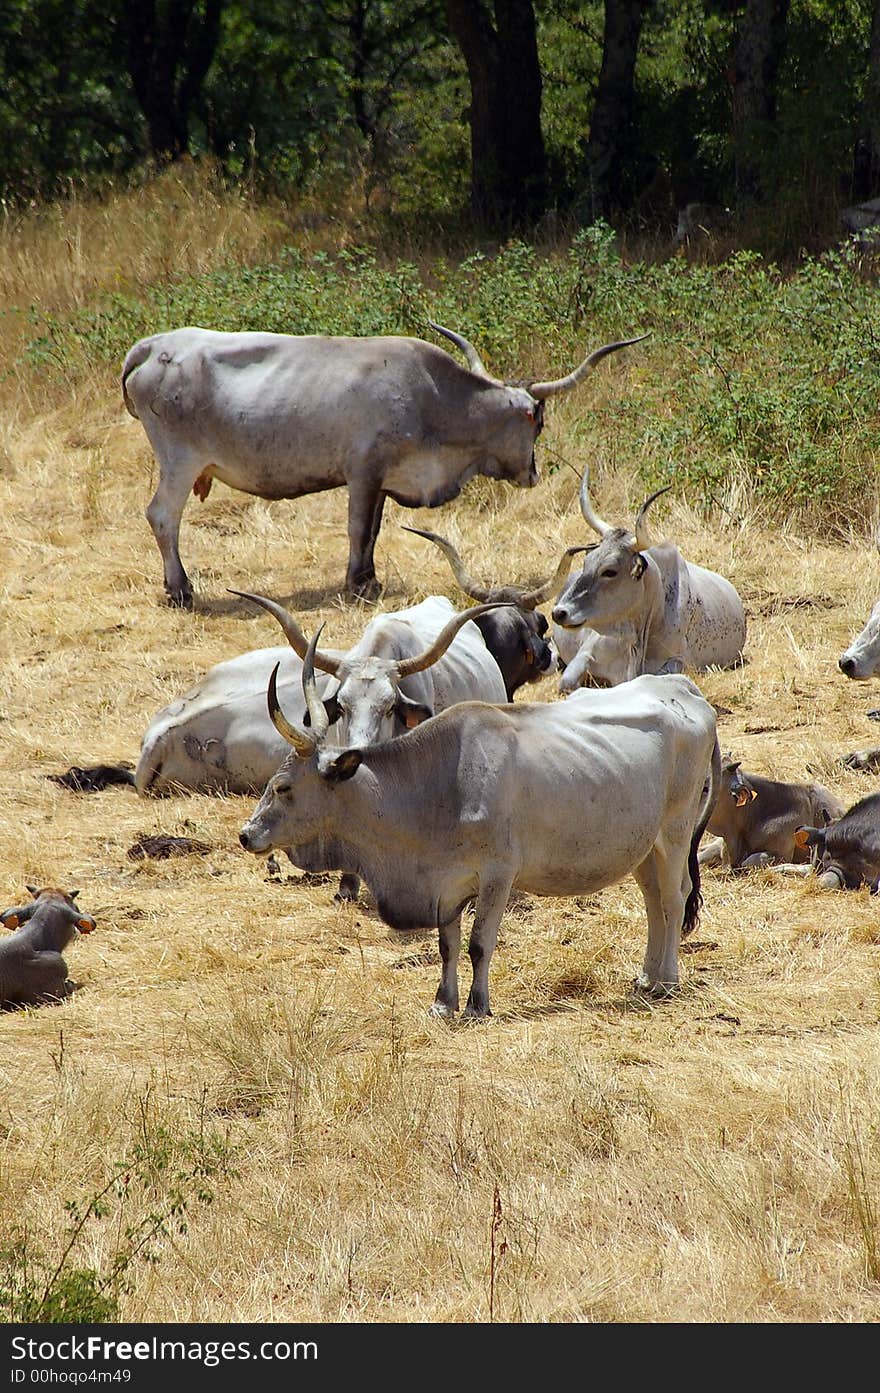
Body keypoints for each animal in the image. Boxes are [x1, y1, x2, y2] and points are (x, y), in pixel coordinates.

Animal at [121, 328, 646, 612]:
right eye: (538, 422)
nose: (533, 474)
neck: (434, 399)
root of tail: (153, 345)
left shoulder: (383, 483)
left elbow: (373, 531)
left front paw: (369, 580)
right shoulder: (363, 473)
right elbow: (358, 530)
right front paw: (355, 584)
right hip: (179, 462)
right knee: (162, 516)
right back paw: (180, 590)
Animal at [236, 629, 718, 1014]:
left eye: (283, 787)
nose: (246, 835)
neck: (441, 783)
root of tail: (686, 691)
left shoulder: (497, 877)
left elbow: (479, 944)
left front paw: (476, 1004)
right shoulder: (445, 885)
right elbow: (447, 945)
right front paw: (442, 1002)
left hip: (675, 834)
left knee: (674, 898)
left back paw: (667, 980)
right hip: (644, 848)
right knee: (654, 902)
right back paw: (647, 976)